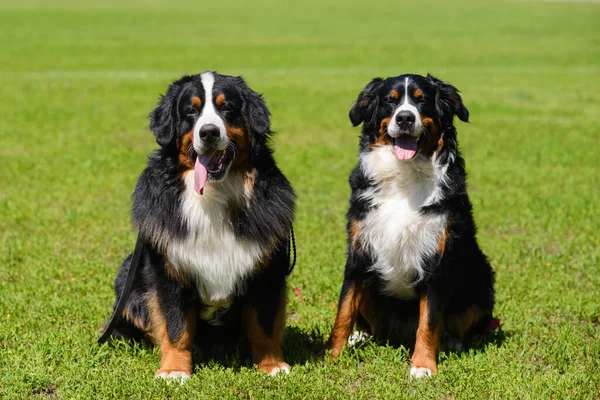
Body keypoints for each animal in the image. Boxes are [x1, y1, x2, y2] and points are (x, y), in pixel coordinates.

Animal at [108, 72, 298, 382]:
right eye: (191, 111)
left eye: (227, 108)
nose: (208, 132)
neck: (212, 196)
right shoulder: (169, 269)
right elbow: (175, 325)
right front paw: (174, 369)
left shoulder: (267, 270)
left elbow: (264, 324)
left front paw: (272, 365)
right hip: (129, 273)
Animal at [326, 72, 494, 378]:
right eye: (390, 102)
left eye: (421, 100)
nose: (405, 118)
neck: (403, 177)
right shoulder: (359, 253)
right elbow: (343, 311)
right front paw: (331, 356)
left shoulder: (436, 259)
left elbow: (429, 321)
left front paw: (423, 365)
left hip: (482, 279)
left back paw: (451, 342)